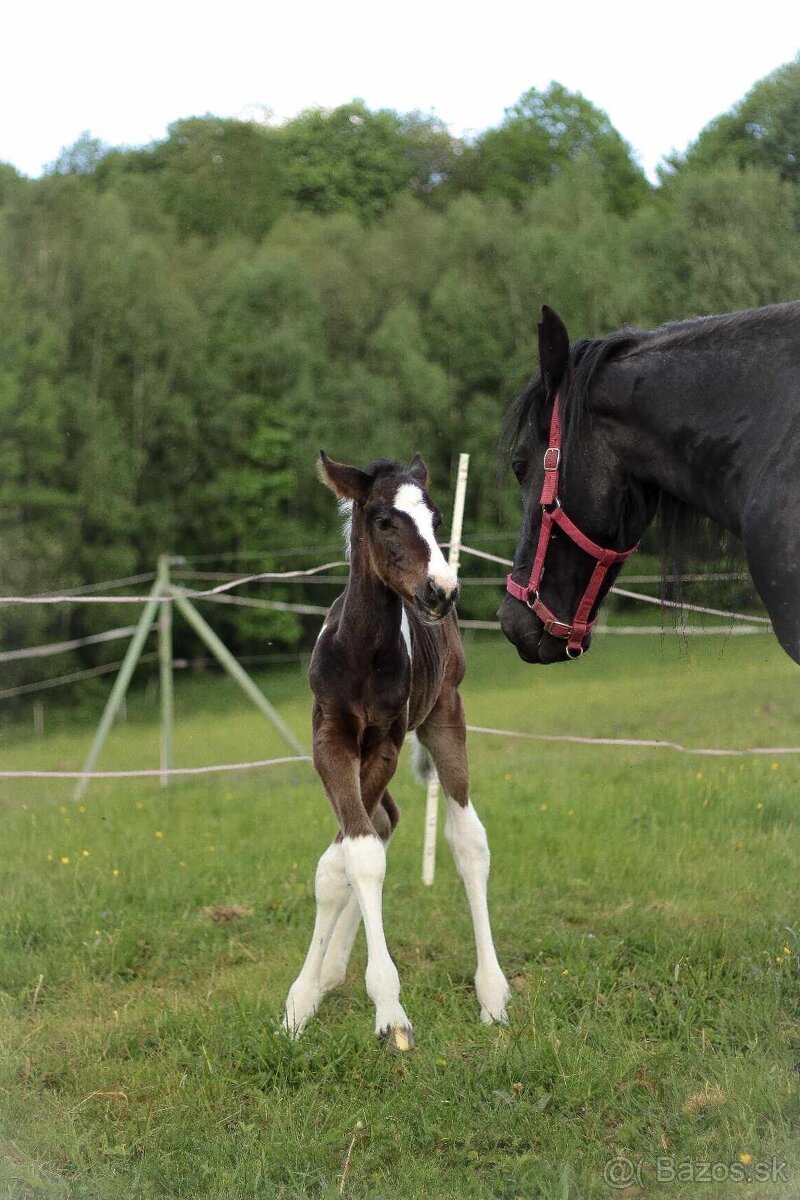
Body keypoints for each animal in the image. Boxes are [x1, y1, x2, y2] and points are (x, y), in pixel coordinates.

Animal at [284, 453, 510, 1046]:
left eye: (436, 518)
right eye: (384, 521)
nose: (442, 590)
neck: (362, 653)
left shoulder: (385, 740)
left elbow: (353, 855)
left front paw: (388, 1010)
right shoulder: (331, 739)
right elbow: (347, 857)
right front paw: (303, 1000)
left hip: (444, 714)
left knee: (466, 840)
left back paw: (493, 993)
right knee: (382, 822)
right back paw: (332, 969)